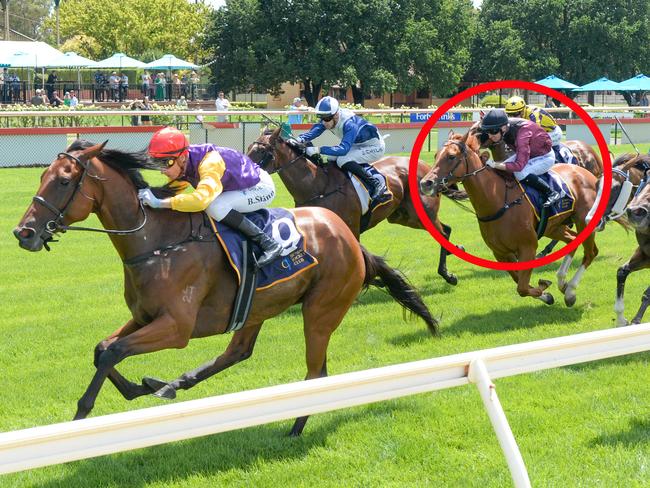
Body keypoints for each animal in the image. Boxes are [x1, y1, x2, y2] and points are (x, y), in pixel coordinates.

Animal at [13, 140, 436, 434]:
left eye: (63, 181)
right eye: (42, 177)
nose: (24, 233)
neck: (157, 242)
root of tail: (349, 238)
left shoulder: (177, 328)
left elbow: (112, 352)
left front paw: (83, 413)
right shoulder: (145, 316)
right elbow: (103, 349)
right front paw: (141, 387)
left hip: (320, 310)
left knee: (316, 371)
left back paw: (295, 427)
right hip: (258, 307)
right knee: (238, 352)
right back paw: (173, 383)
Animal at [246, 127, 458, 286]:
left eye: (261, 151)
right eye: (248, 148)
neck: (318, 185)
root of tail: (428, 168)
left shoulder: (351, 228)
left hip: (421, 213)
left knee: (443, 232)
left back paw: (448, 274)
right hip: (404, 217)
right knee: (446, 229)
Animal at [420, 130, 596, 304]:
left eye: (451, 156)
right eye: (436, 155)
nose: (425, 183)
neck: (497, 201)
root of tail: (588, 174)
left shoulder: (528, 247)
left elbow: (522, 287)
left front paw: (545, 289)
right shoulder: (500, 253)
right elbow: (519, 282)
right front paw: (546, 294)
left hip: (583, 221)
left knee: (591, 252)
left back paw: (570, 291)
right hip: (553, 227)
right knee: (572, 239)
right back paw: (562, 282)